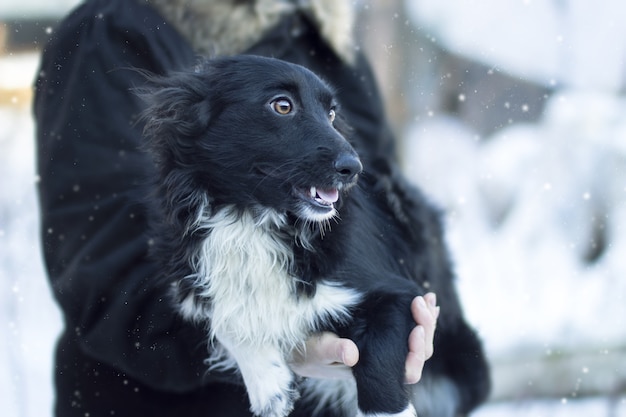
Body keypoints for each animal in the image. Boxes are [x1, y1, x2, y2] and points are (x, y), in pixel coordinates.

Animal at [140, 55, 488, 416]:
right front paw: (269, 386)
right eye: (282, 106)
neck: (253, 220)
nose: (354, 168)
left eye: (332, 114)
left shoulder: (401, 294)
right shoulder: (194, 278)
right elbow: (225, 315)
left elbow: (378, 363)